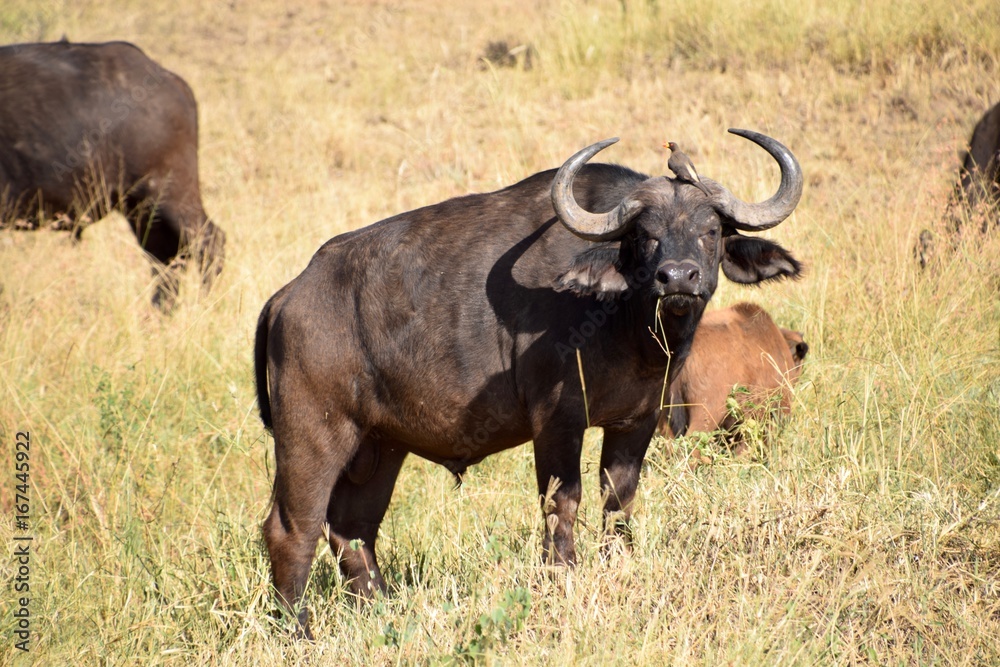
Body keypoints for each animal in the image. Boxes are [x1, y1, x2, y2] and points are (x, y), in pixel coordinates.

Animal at [0, 43, 226, 310]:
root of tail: (170, 80)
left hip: (169, 193)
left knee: (208, 243)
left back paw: (205, 305)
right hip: (140, 209)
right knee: (165, 257)